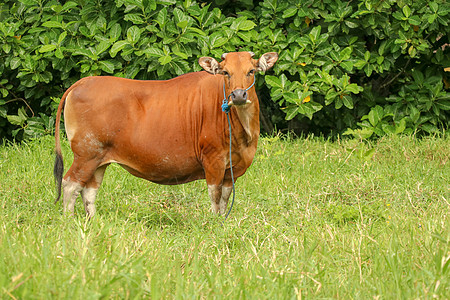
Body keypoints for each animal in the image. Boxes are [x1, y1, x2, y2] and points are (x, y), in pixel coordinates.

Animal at [53, 51, 278, 216]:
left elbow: (225, 198)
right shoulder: (213, 161)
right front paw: (215, 222)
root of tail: (82, 82)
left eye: (251, 71)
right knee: (70, 184)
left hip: (99, 158)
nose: (238, 95)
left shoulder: (232, 169)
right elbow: (215, 198)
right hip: (86, 153)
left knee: (89, 190)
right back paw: (69, 219)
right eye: (225, 73)